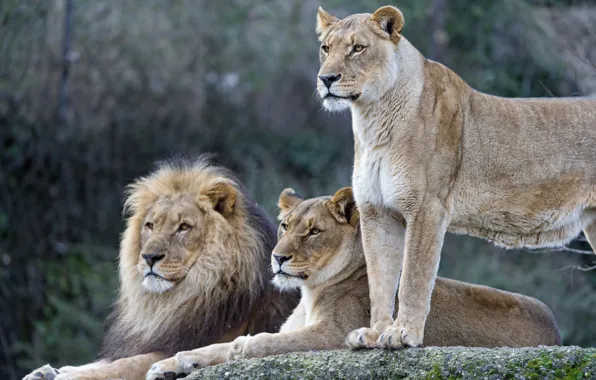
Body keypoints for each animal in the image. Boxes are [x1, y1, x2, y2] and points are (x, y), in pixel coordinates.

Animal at [22, 155, 298, 380]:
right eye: (150, 225)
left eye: (184, 227)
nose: (149, 257)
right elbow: (110, 360)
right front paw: (48, 371)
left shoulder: (198, 339)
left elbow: (126, 364)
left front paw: (68, 375)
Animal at [144, 187, 560, 380]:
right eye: (285, 225)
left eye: (313, 232)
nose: (277, 258)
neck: (310, 291)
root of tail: (555, 330)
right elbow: (215, 346)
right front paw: (171, 363)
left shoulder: (333, 332)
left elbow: (257, 343)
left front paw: (242, 348)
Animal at [314, 5, 592, 350]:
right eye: (326, 48)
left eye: (357, 48)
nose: (326, 78)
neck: (373, 120)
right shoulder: (376, 212)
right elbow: (379, 281)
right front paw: (375, 333)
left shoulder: (427, 207)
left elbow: (413, 278)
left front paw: (403, 333)